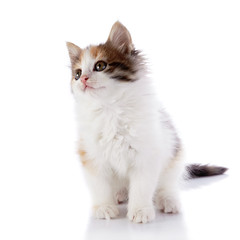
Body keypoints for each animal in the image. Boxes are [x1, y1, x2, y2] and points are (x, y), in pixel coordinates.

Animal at [65, 21, 227, 224]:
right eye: (77, 74)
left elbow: (142, 187)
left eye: (100, 66)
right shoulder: (92, 156)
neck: (110, 109)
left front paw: (140, 210)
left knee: (166, 184)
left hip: (174, 155)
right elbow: (99, 186)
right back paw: (119, 194)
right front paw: (104, 207)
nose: (84, 80)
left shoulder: (147, 155)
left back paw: (167, 200)